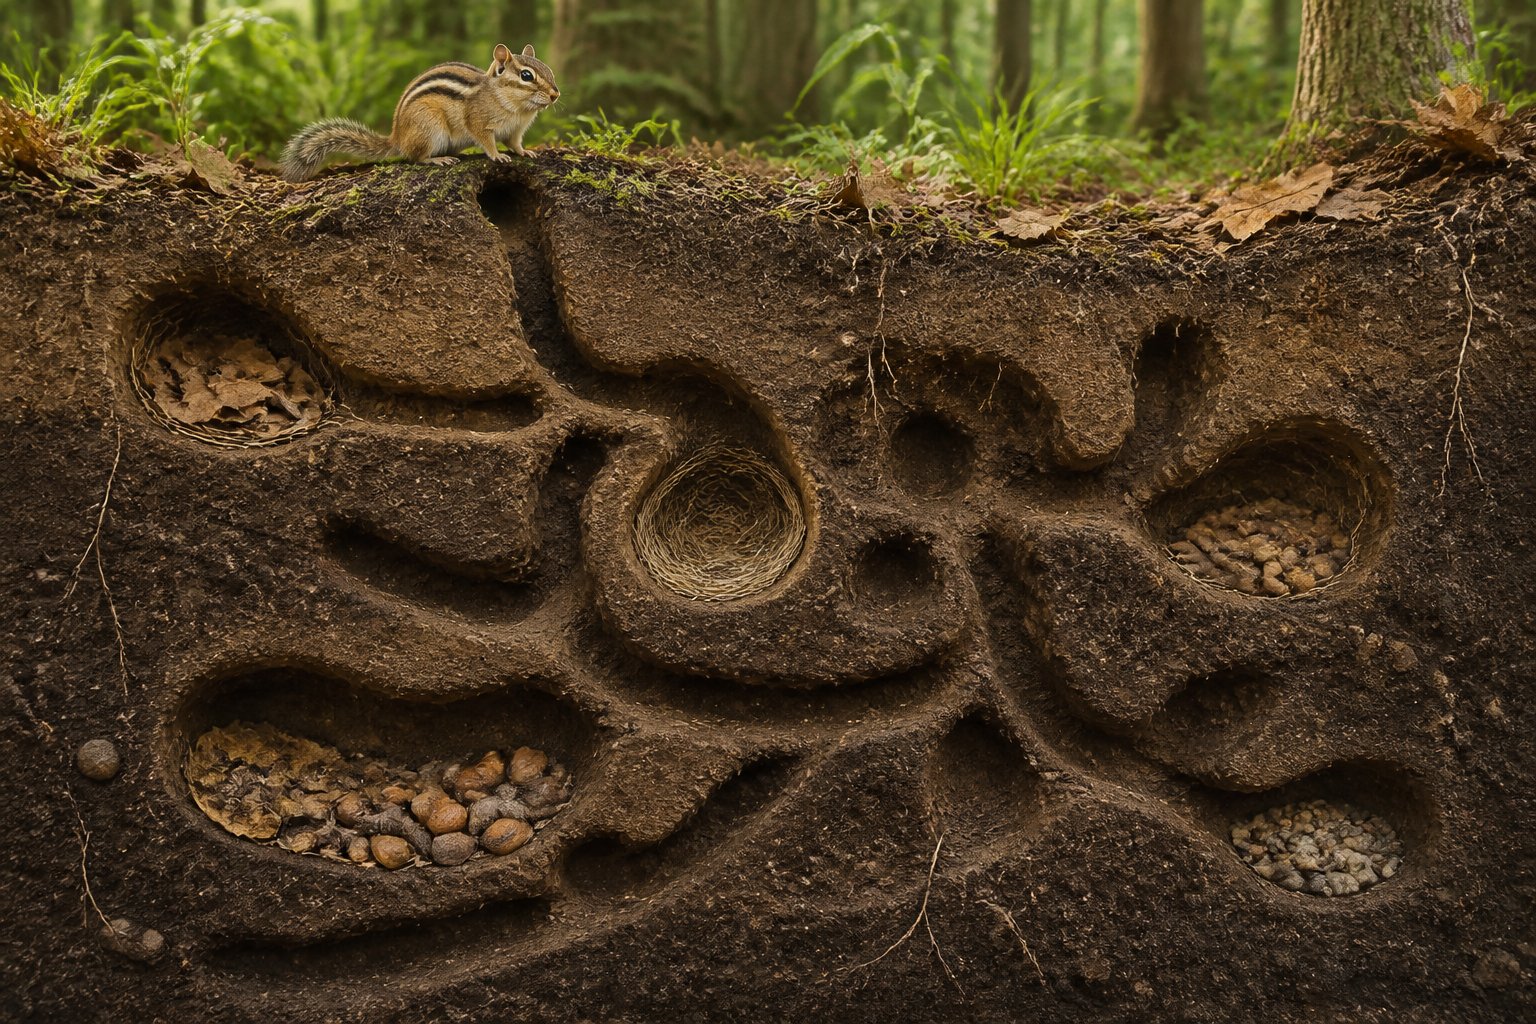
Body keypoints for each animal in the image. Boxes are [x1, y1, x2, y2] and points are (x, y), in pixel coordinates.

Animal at [280, 43, 559, 182]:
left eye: (549, 70)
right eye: (526, 76)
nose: (556, 95)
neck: (518, 109)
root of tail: (397, 137)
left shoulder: (515, 131)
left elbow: (515, 143)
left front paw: (526, 152)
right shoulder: (478, 121)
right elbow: (487, 141)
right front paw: (497, 156)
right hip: (430, 127)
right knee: (415, 157)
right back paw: (438, 159)